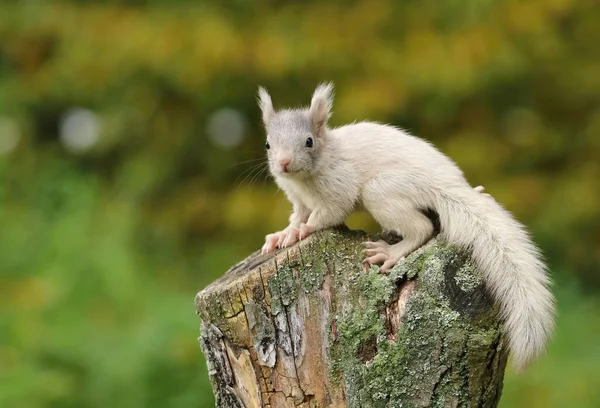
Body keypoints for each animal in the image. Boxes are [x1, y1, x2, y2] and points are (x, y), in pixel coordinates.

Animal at [255, 81, 556, 372]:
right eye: (267, 144)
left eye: (309, 141)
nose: (283, 163)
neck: (307, 176)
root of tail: (447, 187)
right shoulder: (299, 201)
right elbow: (298, 216)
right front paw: (282, 235)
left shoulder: (338, 189)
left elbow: (325, 216)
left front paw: (301, 232)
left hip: (382, 191)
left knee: (422, 228)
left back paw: (390, 253)